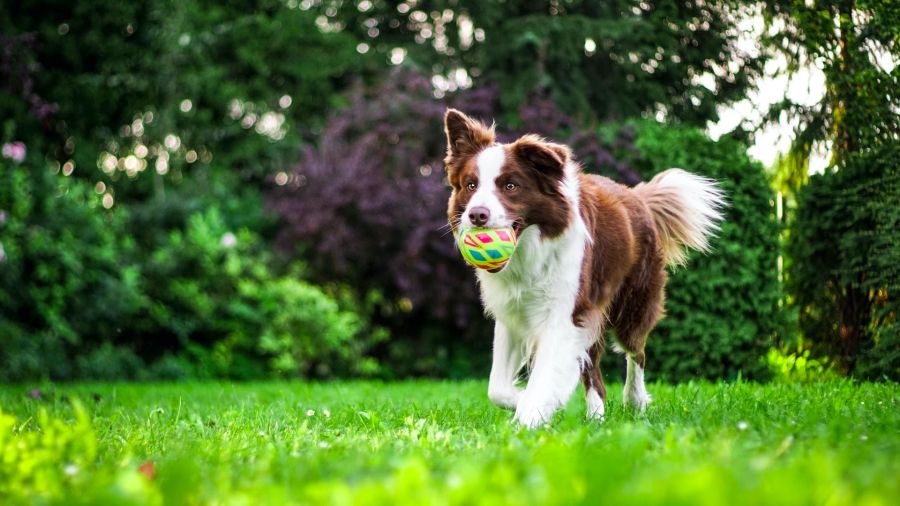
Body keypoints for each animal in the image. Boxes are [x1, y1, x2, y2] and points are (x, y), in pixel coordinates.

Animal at [442, 109, 724, 426]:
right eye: (471, 185)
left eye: (510, 186)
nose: (477, 215)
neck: (529, 251)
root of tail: (637, 196)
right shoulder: (513, 313)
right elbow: (497, 388)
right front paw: (526, 401)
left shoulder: (565, 313)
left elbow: (545, 375)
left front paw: (529, 417)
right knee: (594, 371)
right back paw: (596, 417)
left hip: (632, 303)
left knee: (636, 352)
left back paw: (634, 401)